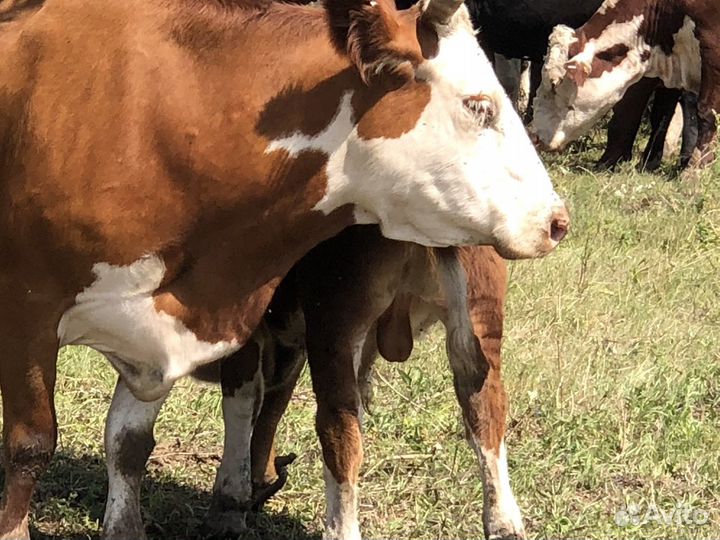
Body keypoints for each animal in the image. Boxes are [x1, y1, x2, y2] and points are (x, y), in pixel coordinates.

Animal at [110, 226, 524, 540]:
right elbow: (269, 411)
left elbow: (243, 406)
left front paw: (230, 505)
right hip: (480, 314)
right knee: (485, 408)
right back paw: (505, 524)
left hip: (334, 319)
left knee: (338, 428)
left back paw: (341, 529)